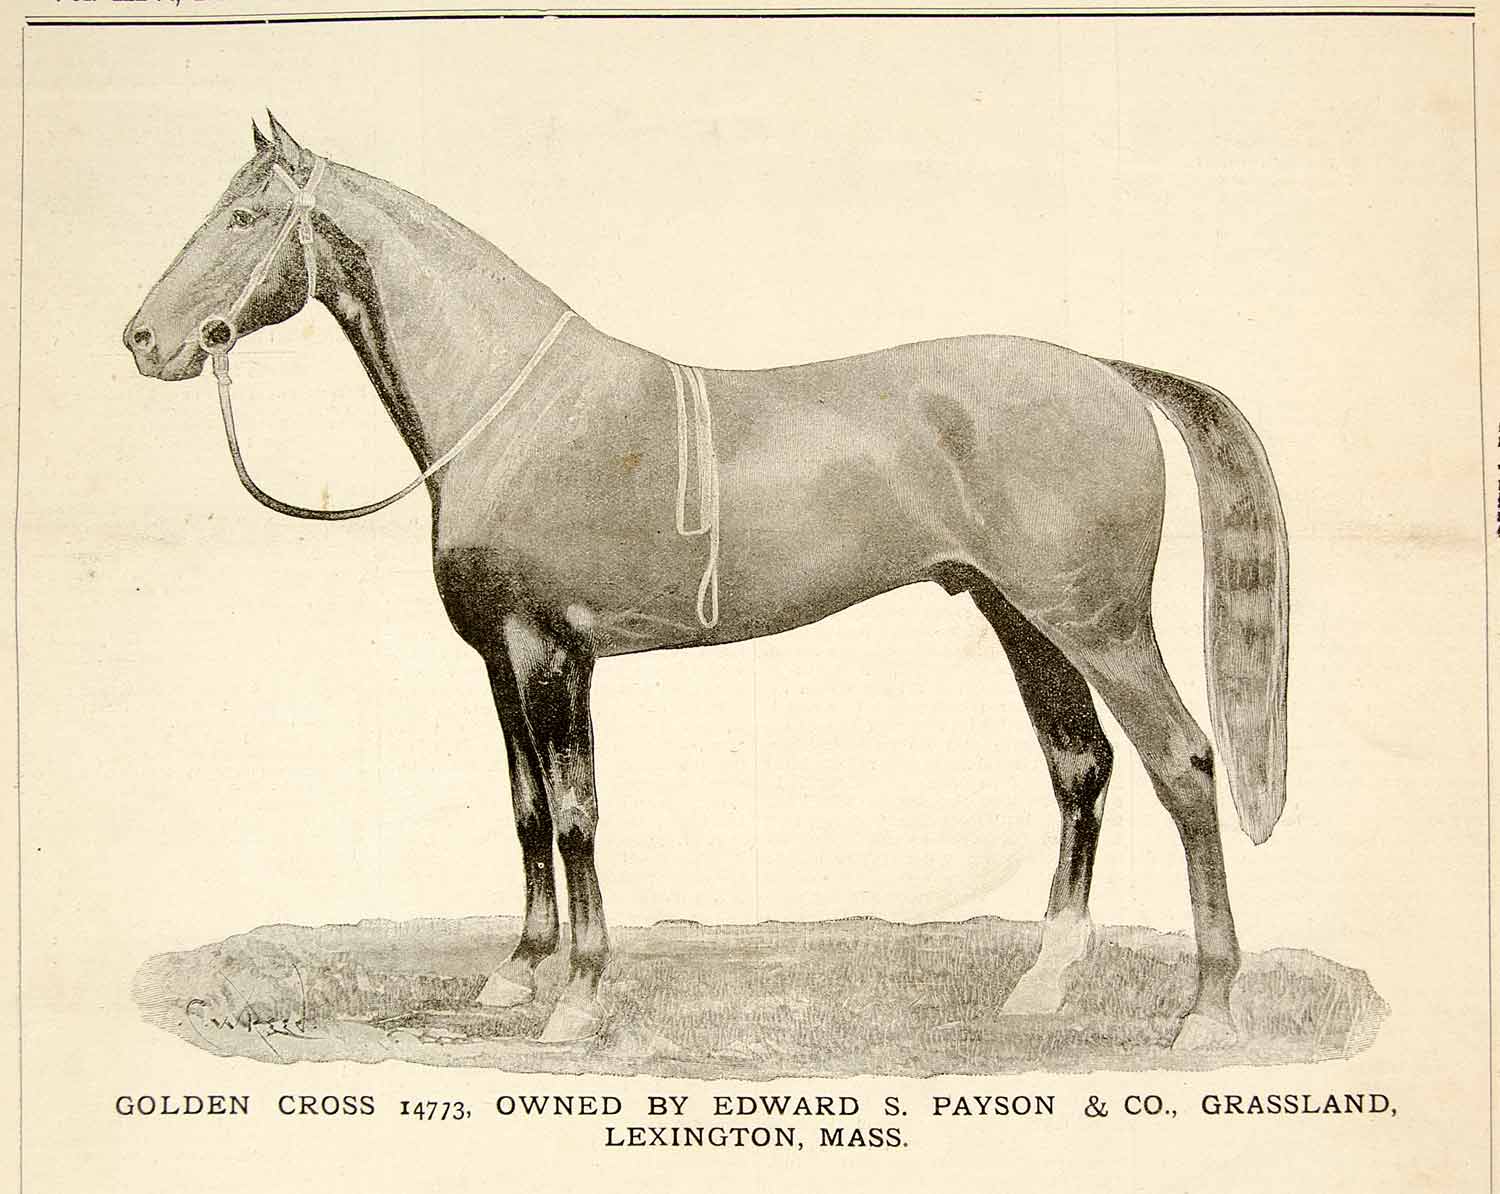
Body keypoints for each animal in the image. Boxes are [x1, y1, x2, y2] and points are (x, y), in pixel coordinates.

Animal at [122, 114, 1288, 1051]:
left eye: (245, 217)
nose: (143, 340)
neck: (519, 412)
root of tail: (1109, 375)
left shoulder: (555, 653)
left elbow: (578, 814)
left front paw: (579, 999)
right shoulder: (499, 660)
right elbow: (526, 811)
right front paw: (518, 973)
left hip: (1100, 624)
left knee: (1183, 765)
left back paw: (1207, 1009)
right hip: (1025, 620)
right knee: (1080, 768)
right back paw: (1046, 984)